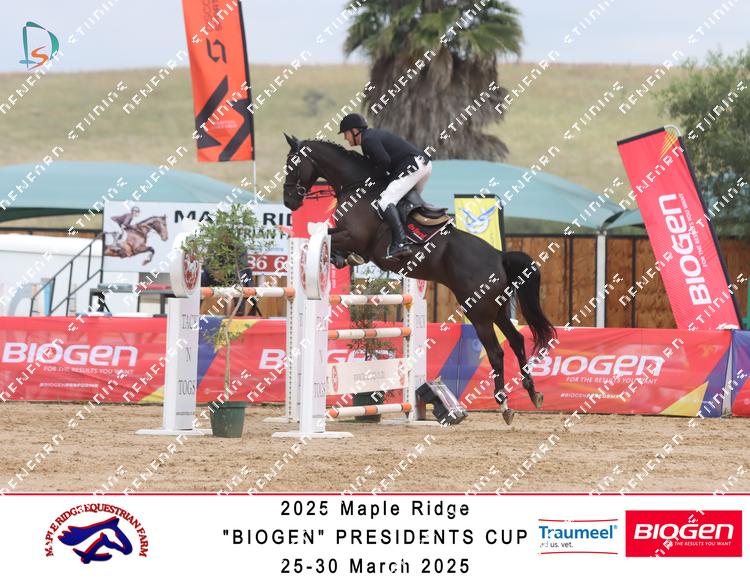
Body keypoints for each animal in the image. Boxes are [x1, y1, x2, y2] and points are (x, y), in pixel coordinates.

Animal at [281, 134, 556, 425]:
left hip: (479, 312)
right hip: (497, 309)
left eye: (292, 164)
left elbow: (329, 236)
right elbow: (331, 240)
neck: (357, 189)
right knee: (516, 341)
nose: (289, 201)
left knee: (496, 352)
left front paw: (334, 255)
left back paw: (504, 405)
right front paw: (339, 259)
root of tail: (499, 255)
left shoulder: (355, 238)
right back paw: (533, 393)